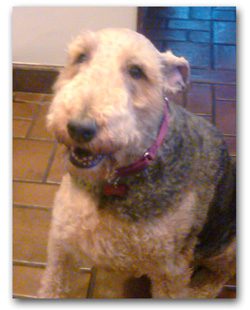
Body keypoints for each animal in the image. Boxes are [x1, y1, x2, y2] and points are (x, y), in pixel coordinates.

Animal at [38, 28, 235, 298]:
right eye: (81, 57)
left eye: (136, 71)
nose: (79, 128)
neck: (115, 180)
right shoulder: (61, 241)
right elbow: (53, 285)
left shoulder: (170, 272)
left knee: (222, 273)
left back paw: (202, 289)